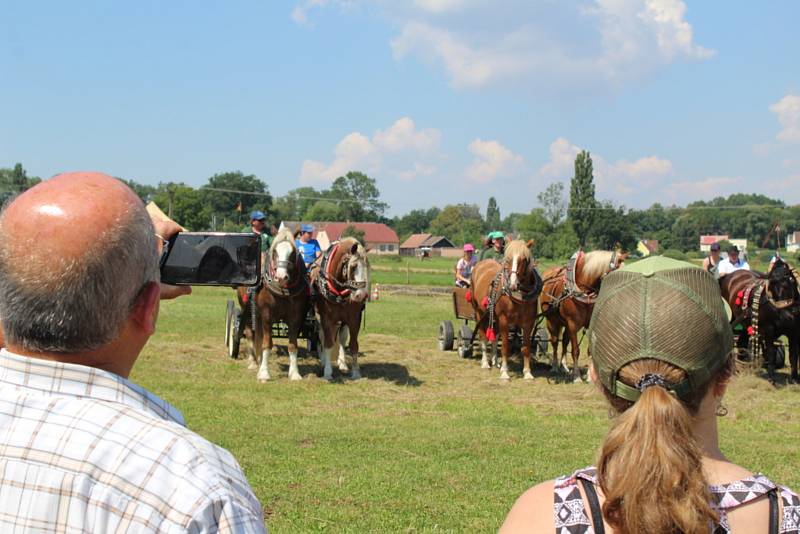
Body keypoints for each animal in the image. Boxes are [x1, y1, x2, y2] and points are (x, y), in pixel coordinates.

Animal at [234, 228, 310, 384]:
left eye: (293, 252)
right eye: (275, 251)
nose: (281, 277)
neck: (282, 289)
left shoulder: (295, 317)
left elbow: (292, 345)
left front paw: (294, 373)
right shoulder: (267, 315)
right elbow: (267, 343)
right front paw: (264, 373)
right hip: (246, 309)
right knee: (250, 333)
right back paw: (253, 362)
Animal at [310, 239, 372, 382]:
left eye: (367, 266)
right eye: (353, 266)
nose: (361, 295)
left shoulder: (354, 319)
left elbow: (353, 345)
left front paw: (355, 372)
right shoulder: (327, 318)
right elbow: (327, 343)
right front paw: (327, 372)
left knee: (342, 340)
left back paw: (342, 363)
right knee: (322, 337)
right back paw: (323, 360)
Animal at [466, 241, 540, 384]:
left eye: (524, 259)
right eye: (508, 259)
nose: (512, 284)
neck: (520, 296)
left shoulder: (528, 322)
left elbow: (526, 347)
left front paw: (527, 373)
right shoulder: (504, 319)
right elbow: (505, 346)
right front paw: (505, 373)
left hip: (494, 317)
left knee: (494, 338)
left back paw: (495, 361)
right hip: (480, 313)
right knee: (483, 336)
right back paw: (485, 362)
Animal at [540, 250, 628, 382]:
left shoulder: (588, 323)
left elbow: (589, 350)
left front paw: (590, 377)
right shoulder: (572, 324)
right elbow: (575, 350)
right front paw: (577, 376)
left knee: (564, 341)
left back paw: (564, 366)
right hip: (551, 321)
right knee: (555, 341)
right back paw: (555, 366)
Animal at [720, 258, 800, 386]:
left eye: (790, 280)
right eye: (771, 284)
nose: (787, 315)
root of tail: (731, 275)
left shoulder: (794, 332)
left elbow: (793, 354)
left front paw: (794, 379)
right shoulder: (769, 330)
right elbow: (771, 353)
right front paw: (772, 379)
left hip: (745, 323)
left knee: (742, 341)